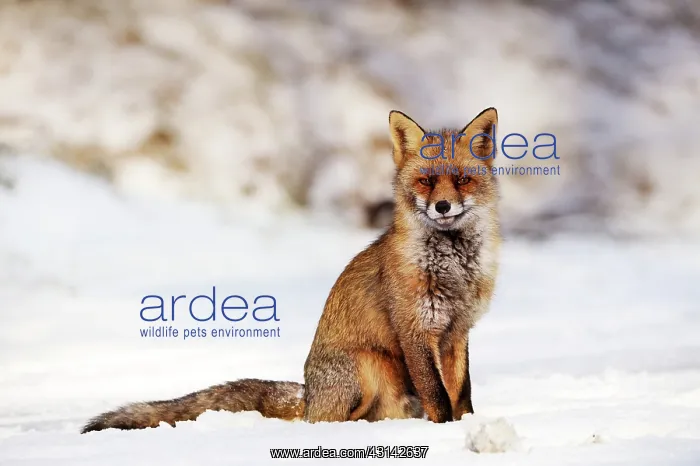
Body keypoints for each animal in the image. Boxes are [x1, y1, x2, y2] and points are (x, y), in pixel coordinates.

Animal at [81, 107, 501, 433]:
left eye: (462, 180)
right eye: (426, 181)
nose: (443, 207)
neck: (453, 267)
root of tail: (307, 393)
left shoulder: (457, 331)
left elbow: (461, 392)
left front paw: (467, 424)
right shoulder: (416, 330)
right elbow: (438, 396)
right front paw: (446, 432)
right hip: (370, 366)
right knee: (331, 421)